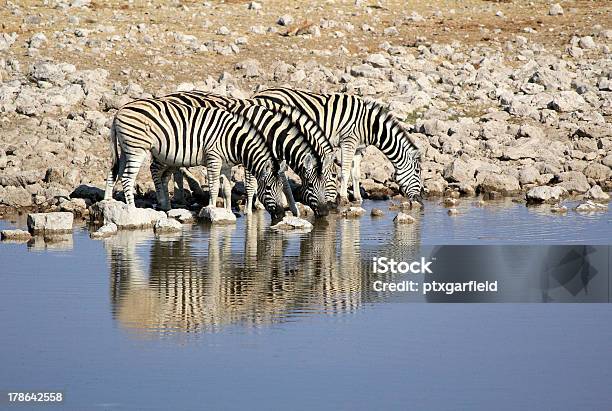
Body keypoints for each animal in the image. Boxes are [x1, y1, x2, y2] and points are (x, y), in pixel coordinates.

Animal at [104, 99, 296, 222]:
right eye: (269, 188)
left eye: (282, 188)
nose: (281, 215)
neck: (233, 140)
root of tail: (120, 110)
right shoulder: (213, 157)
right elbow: (213, 186)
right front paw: (211, 210)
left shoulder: (226, 165)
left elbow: (227, 189)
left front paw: (227, 211)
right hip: (137, 149)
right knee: (128, 178)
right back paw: (133, 211)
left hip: (126, 149)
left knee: (114, 172)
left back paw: (108, 202)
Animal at [153, 91, 338, 217]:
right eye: (311, 185)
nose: (326, 211)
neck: (272, 131)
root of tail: (167, 96)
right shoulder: (253, 155)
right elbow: (251, 184)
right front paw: (250, 210)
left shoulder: (274, 160)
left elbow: (284, 183)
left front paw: (293, 210)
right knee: (155, 169)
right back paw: (164, 202)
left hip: (176, 155)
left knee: (171, 173)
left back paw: (175, 201)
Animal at [251, 89, 424, 206]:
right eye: (417, 172)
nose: (420, 199)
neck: (370, 126)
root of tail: (257, 96)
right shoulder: (348, 141)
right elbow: (345, 171)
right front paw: (343, 198)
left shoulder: (359, 148)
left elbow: (356, 174)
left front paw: (358, 198)